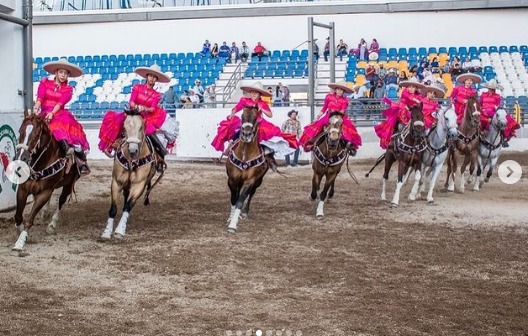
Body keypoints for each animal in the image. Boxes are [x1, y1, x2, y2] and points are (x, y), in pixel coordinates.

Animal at [11, 109, 80, 251]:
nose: (21, 158)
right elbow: (18, 215)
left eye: (37, 134)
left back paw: (52, 225)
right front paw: (19, 231)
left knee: (61, 201)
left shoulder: (45, 192)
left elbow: (29, 219)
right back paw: (44, 213)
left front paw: (20, 242)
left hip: (68, 184)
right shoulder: (23, 189)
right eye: (20, 131)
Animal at [100, 107, 162, 239]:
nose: (133, 151)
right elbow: (113, 209)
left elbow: (128, 206)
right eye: (124, 128)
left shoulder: (139, 184)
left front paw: (120, 230)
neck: (131, 160)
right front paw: (107, 231)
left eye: (141, 127)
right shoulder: (116, 182)